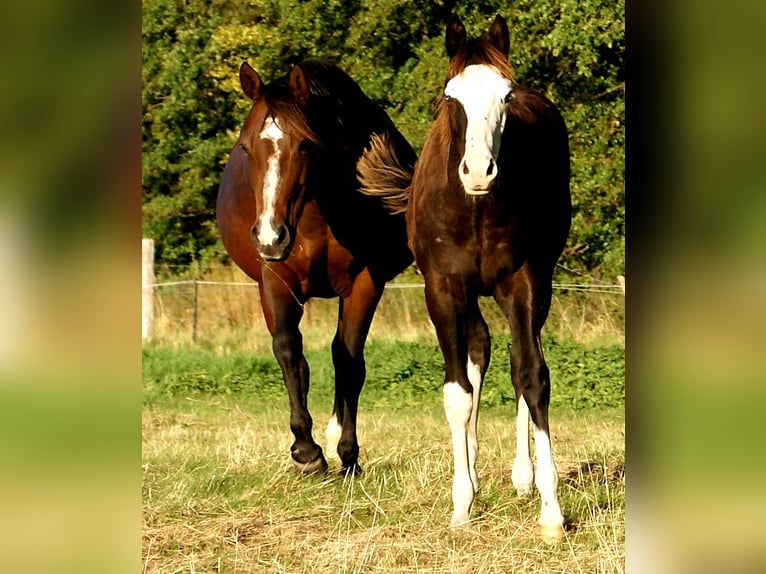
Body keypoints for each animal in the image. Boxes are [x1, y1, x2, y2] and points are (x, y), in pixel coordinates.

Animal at [216, 59, 416, 476]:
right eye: (245, 147)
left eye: (305, 144)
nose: (270, 235)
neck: (315, 217)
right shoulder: (276, 279)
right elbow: (289, 351)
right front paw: (306, 452)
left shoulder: (365, 282)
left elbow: (349, 359)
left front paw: (347, 452)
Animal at [407, 15, 572, 537]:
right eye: (449, 96)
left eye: (506, 95)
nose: (479, 170)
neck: (474, 206)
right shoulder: (442, 291)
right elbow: (458, 393)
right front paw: (462, 503)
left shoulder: (524, 283)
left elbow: (532, 376)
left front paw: (551, 511)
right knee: (478, 348)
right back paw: (475, 471)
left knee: (519, 361)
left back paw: (523, 476)